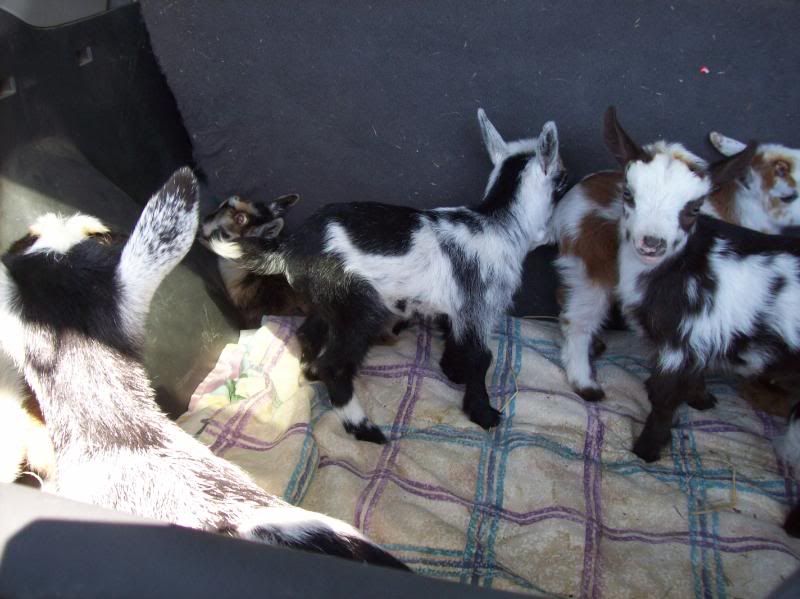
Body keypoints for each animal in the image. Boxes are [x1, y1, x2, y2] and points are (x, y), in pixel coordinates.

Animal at [211, 109, 565, 443]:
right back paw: (364, 428)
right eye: (563, 179)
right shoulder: (480, 306)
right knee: (334, 365)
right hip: (359, 307)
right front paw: (483, 412)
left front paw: (452, 370)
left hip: (328, 302)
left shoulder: (458, 310)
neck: (498, 223)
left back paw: (310, 373)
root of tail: (291, 246)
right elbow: (482, 358)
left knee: (307, 334)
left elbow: (456, 341)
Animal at [553, 118, 787, 402]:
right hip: (591, 266)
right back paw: (586, 384)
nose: (652, 243)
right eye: (629, 194)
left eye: (695, 207)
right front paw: (699, 397)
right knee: (578, 321)